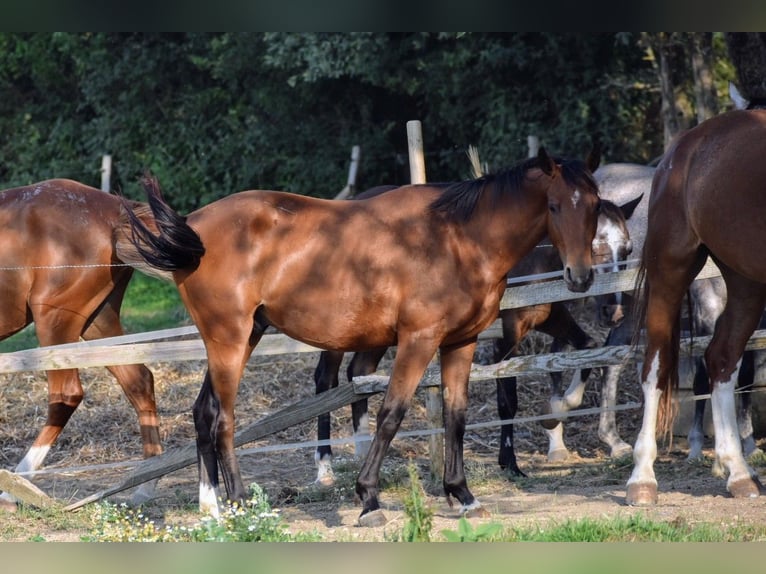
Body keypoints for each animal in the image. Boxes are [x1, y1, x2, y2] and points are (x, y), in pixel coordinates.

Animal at [0, 181, 164, 512]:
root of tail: (113, 210)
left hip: (54, 321)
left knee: (66, 395)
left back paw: (13, 489)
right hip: (98, 323)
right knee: (139, 381)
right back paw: (146, 485)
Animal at [120, 147, 604, 528]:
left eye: (596, 205)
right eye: (554, 206)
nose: (580, 277)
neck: (459, 239)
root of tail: (194, 226)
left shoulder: (459, 343)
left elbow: (457, 416)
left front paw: (462, 495)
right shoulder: (417, 340)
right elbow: (391, 414)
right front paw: (369, 498)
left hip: (240, 337)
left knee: (203, 413)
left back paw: (213, 509)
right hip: (230, 340)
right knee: (224, 419)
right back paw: (244, 505)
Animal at [628, 109, 766, 508]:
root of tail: (685, 144)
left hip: (747, 281)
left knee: (721, 358)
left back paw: (739, 473)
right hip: (670, 269)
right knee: (655, 367)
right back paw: (642, 480)